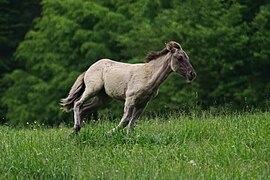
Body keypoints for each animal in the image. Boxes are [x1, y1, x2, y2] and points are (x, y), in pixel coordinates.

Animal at [60, 41, 196, 134]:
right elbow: (125, 120)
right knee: (78, 104)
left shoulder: (142, 103)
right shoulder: (130, 99)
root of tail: (88, 70)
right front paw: (108, 133)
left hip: (103, 98)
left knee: (84, 109)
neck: (148, 75)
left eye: (187, 57)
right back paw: (76, 128)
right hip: (93, 89)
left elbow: (132, 123)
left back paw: (75, 132)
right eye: (179, 58)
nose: (192, 74)